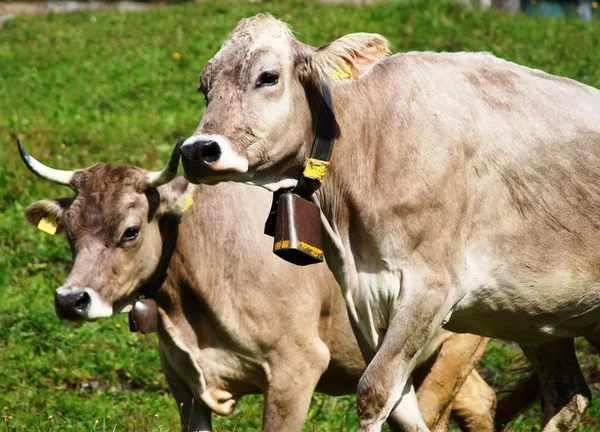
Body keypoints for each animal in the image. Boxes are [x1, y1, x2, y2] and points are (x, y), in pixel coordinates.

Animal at [18, 140, 496, 430]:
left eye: (130, 231)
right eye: (69, 231)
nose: (71, 300)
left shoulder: (295, 369)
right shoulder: (181, 382)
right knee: (481, 403)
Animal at [179, 13, 600, 432]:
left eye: (267, 76)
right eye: (204, 86)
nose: (197, 151)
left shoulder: (432, 286)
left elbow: (375, 391)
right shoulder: (362, 297)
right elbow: (403, 410)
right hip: (537, 317)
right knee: (568, 396)